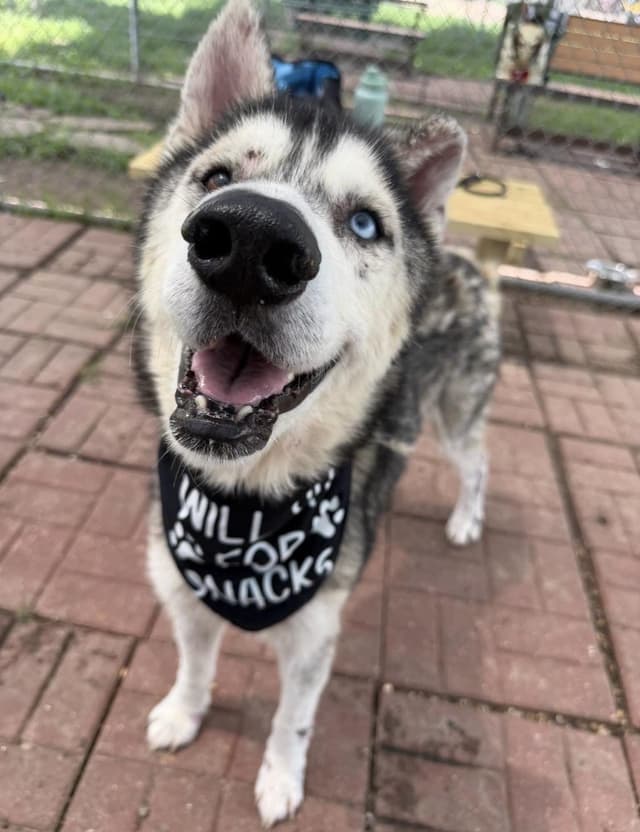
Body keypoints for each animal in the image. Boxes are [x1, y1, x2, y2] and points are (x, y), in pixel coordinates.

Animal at [133, 0, 500, 825]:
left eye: (364, 224)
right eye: (217, 177)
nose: (248, 239)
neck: (244, 506)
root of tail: (467, 262)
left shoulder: (312, 640)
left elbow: (291, 722)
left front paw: (279, 779)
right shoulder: (181, 589)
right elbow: (193, 663)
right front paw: (183, 713)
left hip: (455, 414)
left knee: (478, 463)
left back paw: (467, 520)